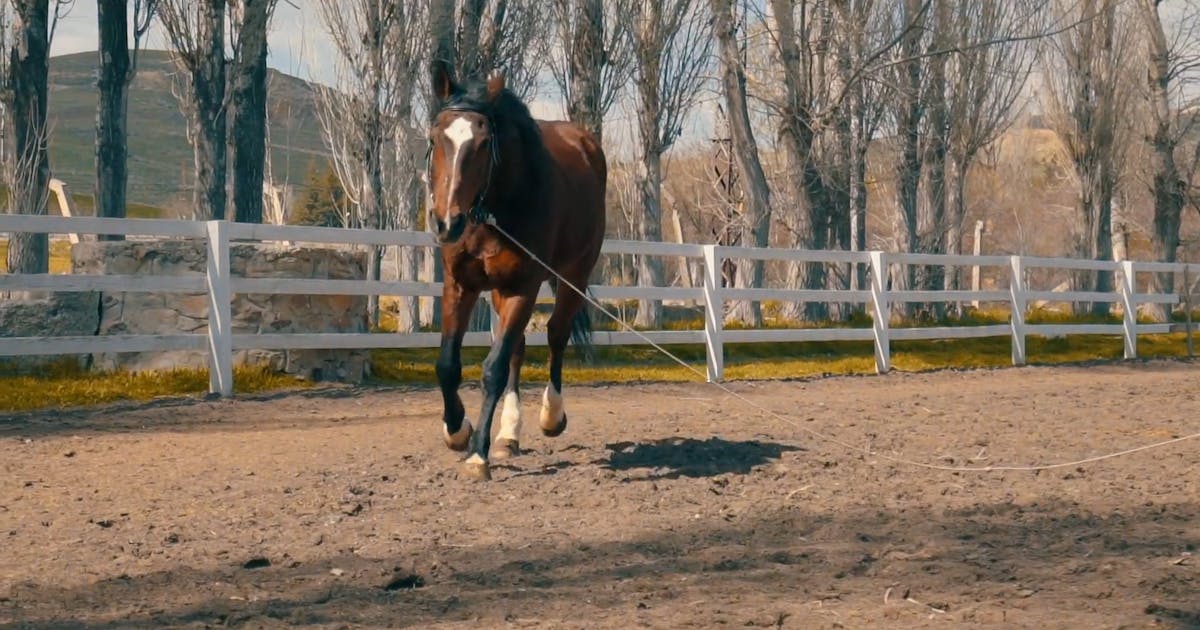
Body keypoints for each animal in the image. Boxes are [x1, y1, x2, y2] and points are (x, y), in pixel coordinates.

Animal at [425, 60, 607, 481]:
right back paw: (508, 434)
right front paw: (457, 431)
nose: (447, 222)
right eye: (435, 138)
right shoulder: (460, 285)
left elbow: (492, 369)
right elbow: (447, 365)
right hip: (498, 290)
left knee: (556, 335)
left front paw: (477, 455)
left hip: (573, 275)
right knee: (518, 349)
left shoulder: (523, 288)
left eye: (481, 143)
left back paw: (551, 416)